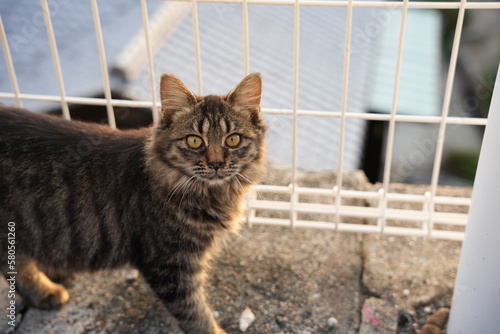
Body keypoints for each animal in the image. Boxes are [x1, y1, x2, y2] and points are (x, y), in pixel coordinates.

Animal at [0, 73, 268, 334]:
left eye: (233, 140)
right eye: (194, 141)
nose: (216, 164)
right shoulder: (169, 265)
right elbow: (195, 314)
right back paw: (45, 291)